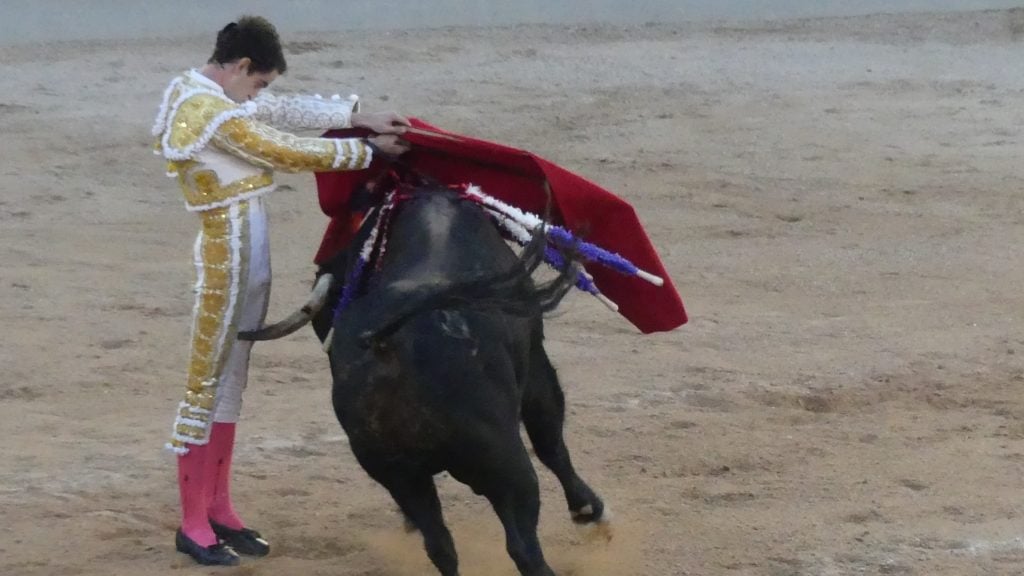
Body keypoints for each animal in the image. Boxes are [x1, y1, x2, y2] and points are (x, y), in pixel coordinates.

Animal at [244, 183, 606, 573]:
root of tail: (388, 344)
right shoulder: (536, 359)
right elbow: (550, 438)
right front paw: (590, 512)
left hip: (395, 471)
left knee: (440, 545)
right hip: (504, 463)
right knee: (523, 547)